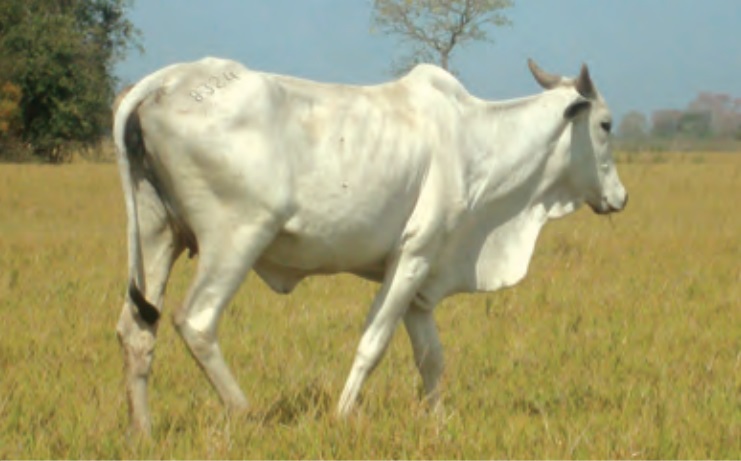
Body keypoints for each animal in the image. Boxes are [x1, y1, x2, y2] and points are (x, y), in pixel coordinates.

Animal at [112, 57, 627, 435]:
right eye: (605, 124)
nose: (620, 197)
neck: (477, 142)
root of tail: (173, 78)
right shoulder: (413, 256)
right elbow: (373, 343)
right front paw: (343, 414)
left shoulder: (422, 281)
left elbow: (431, 357)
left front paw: (438, 422)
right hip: (237, 238)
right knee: (196, 321)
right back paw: (246, 413)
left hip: (159, 236)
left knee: (137, 328)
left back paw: (143, 431)